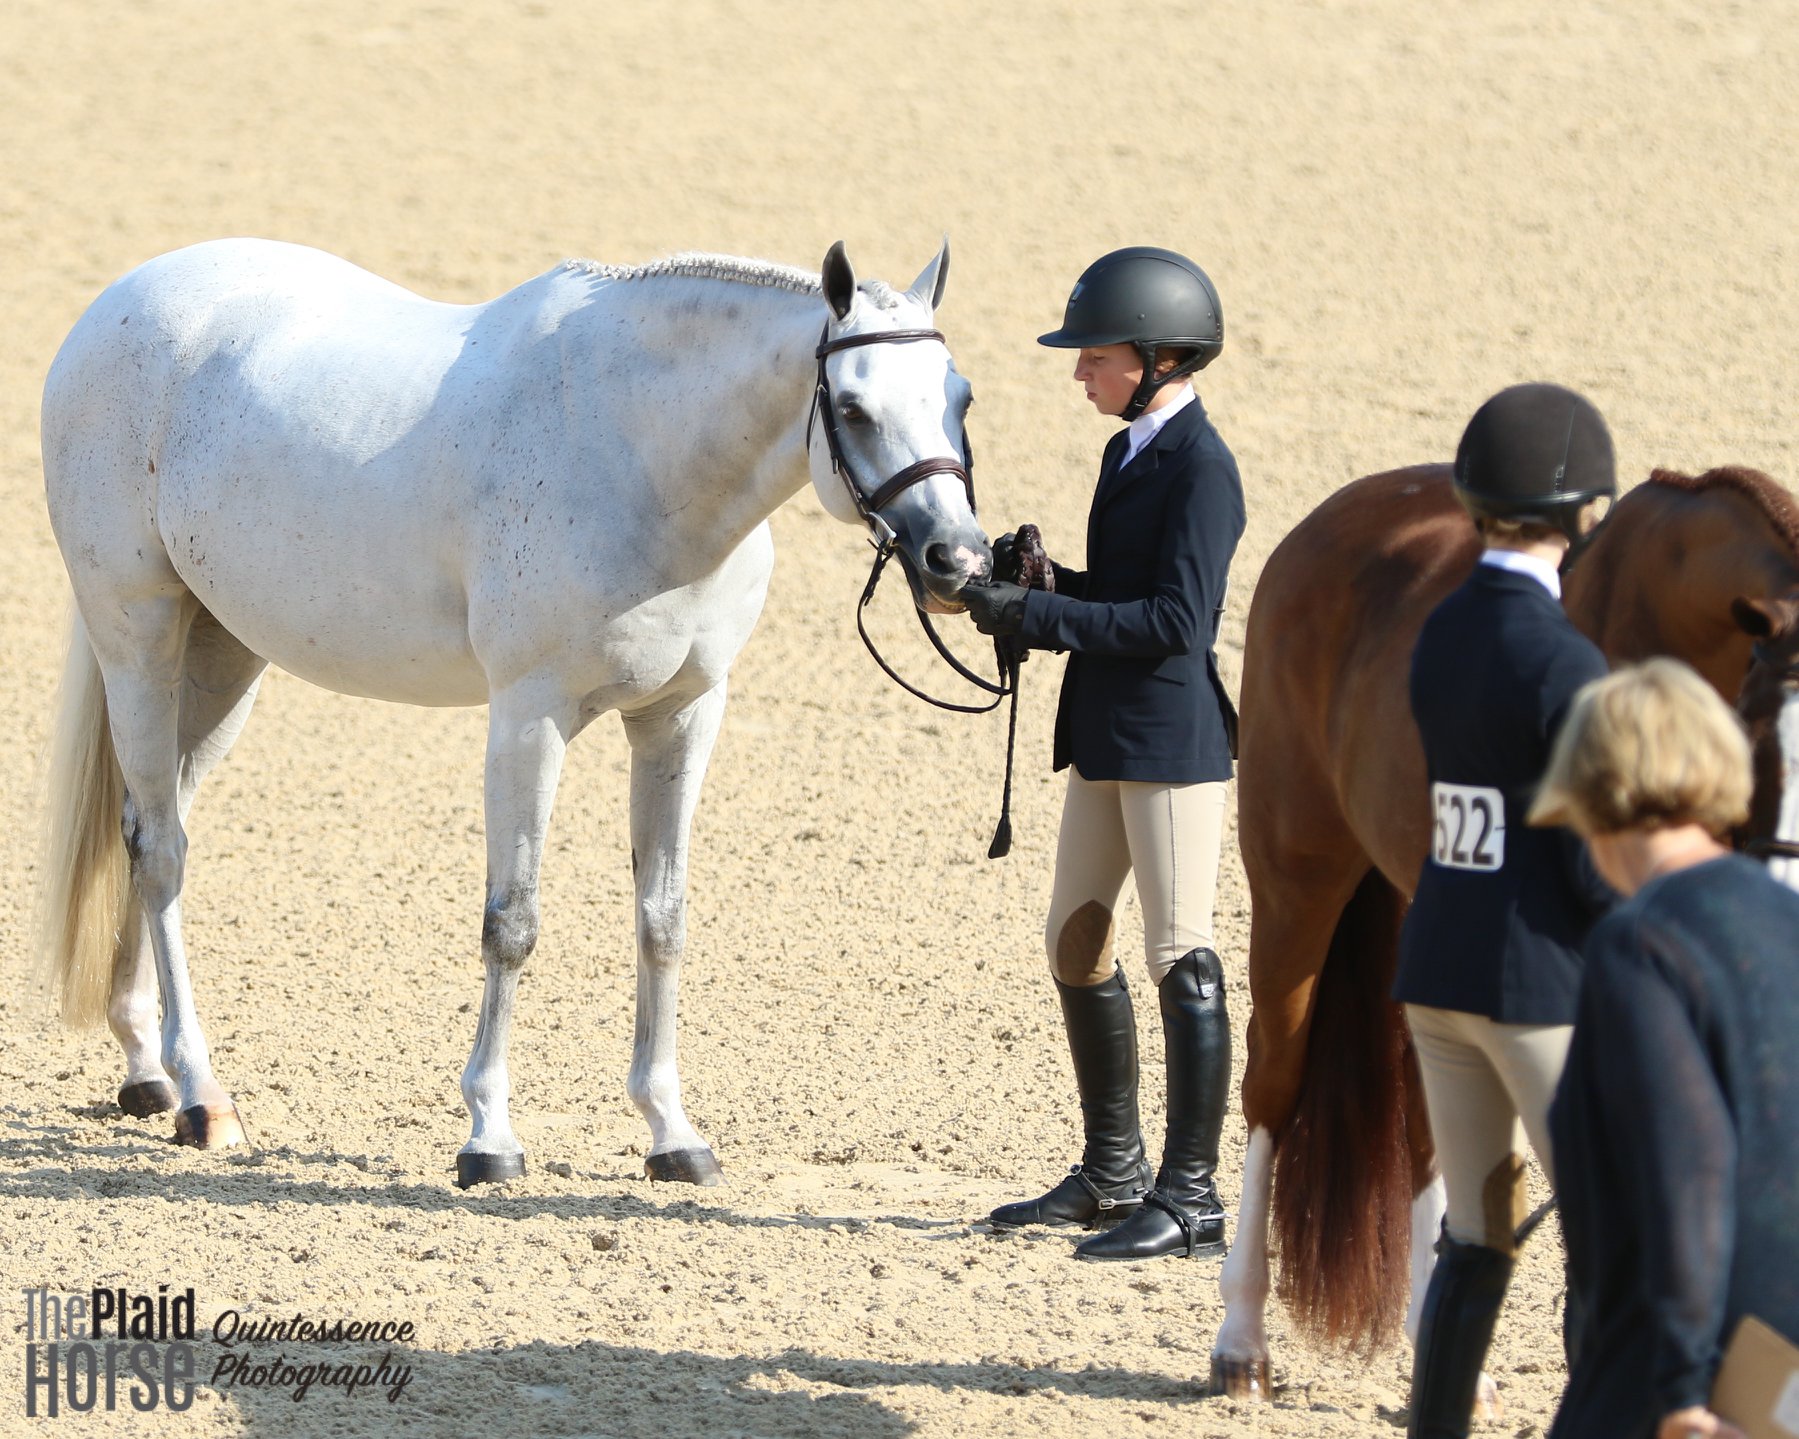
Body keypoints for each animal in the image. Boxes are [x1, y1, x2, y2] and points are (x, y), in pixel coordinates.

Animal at [37, 235, 988, 1189]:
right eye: (854, 407)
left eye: (959, 395)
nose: (957, 560)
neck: (635, 450)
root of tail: (119, 304)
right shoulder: (532, 717)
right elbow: (513, 923)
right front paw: (489, 1136)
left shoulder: (682, 716)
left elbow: (662, 920)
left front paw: (671, 1132)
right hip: (138, 635)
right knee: (161, 851)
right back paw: (202, 1094)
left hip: (221, 655)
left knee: (146, 827)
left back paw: (147, 1070)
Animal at [1205, 463, 1799, 1397]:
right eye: (1763, 729)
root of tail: (1330, 521)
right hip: (1296, 875)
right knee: (1275, 1079)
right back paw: (1241, 1340)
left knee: (1427, 1119)